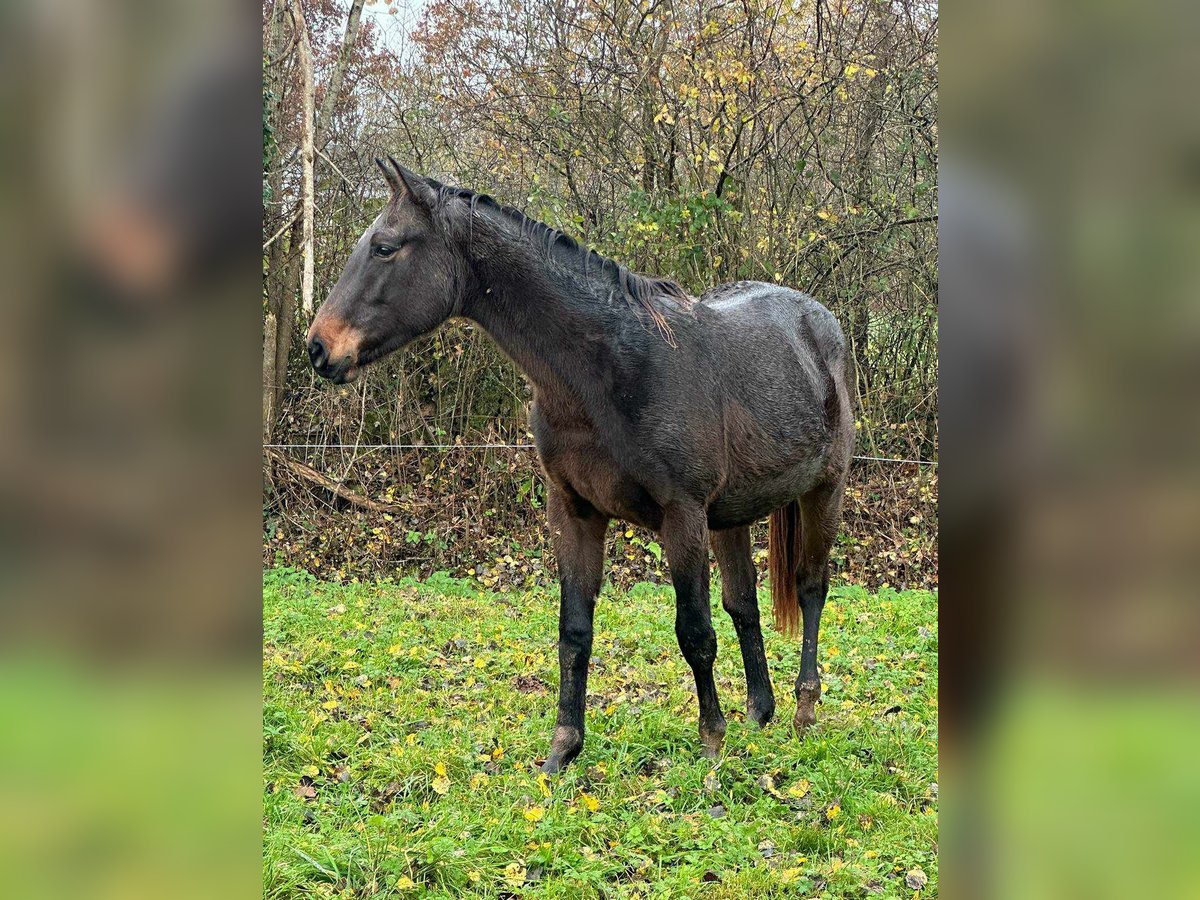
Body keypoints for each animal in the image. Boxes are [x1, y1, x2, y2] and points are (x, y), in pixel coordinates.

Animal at [304, 158, 859, 772]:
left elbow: (695, 633)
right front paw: (562, 751)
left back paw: (804, 709)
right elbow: (574, 632)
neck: (611, 368)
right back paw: (760, 713)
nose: (318, 348)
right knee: (745, 604)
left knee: (811, 588)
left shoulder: (682, 516)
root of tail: (819, 322)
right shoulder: (574, 510)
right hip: (730, 517)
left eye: (384, 247)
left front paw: (711, 743)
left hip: (823, 491)